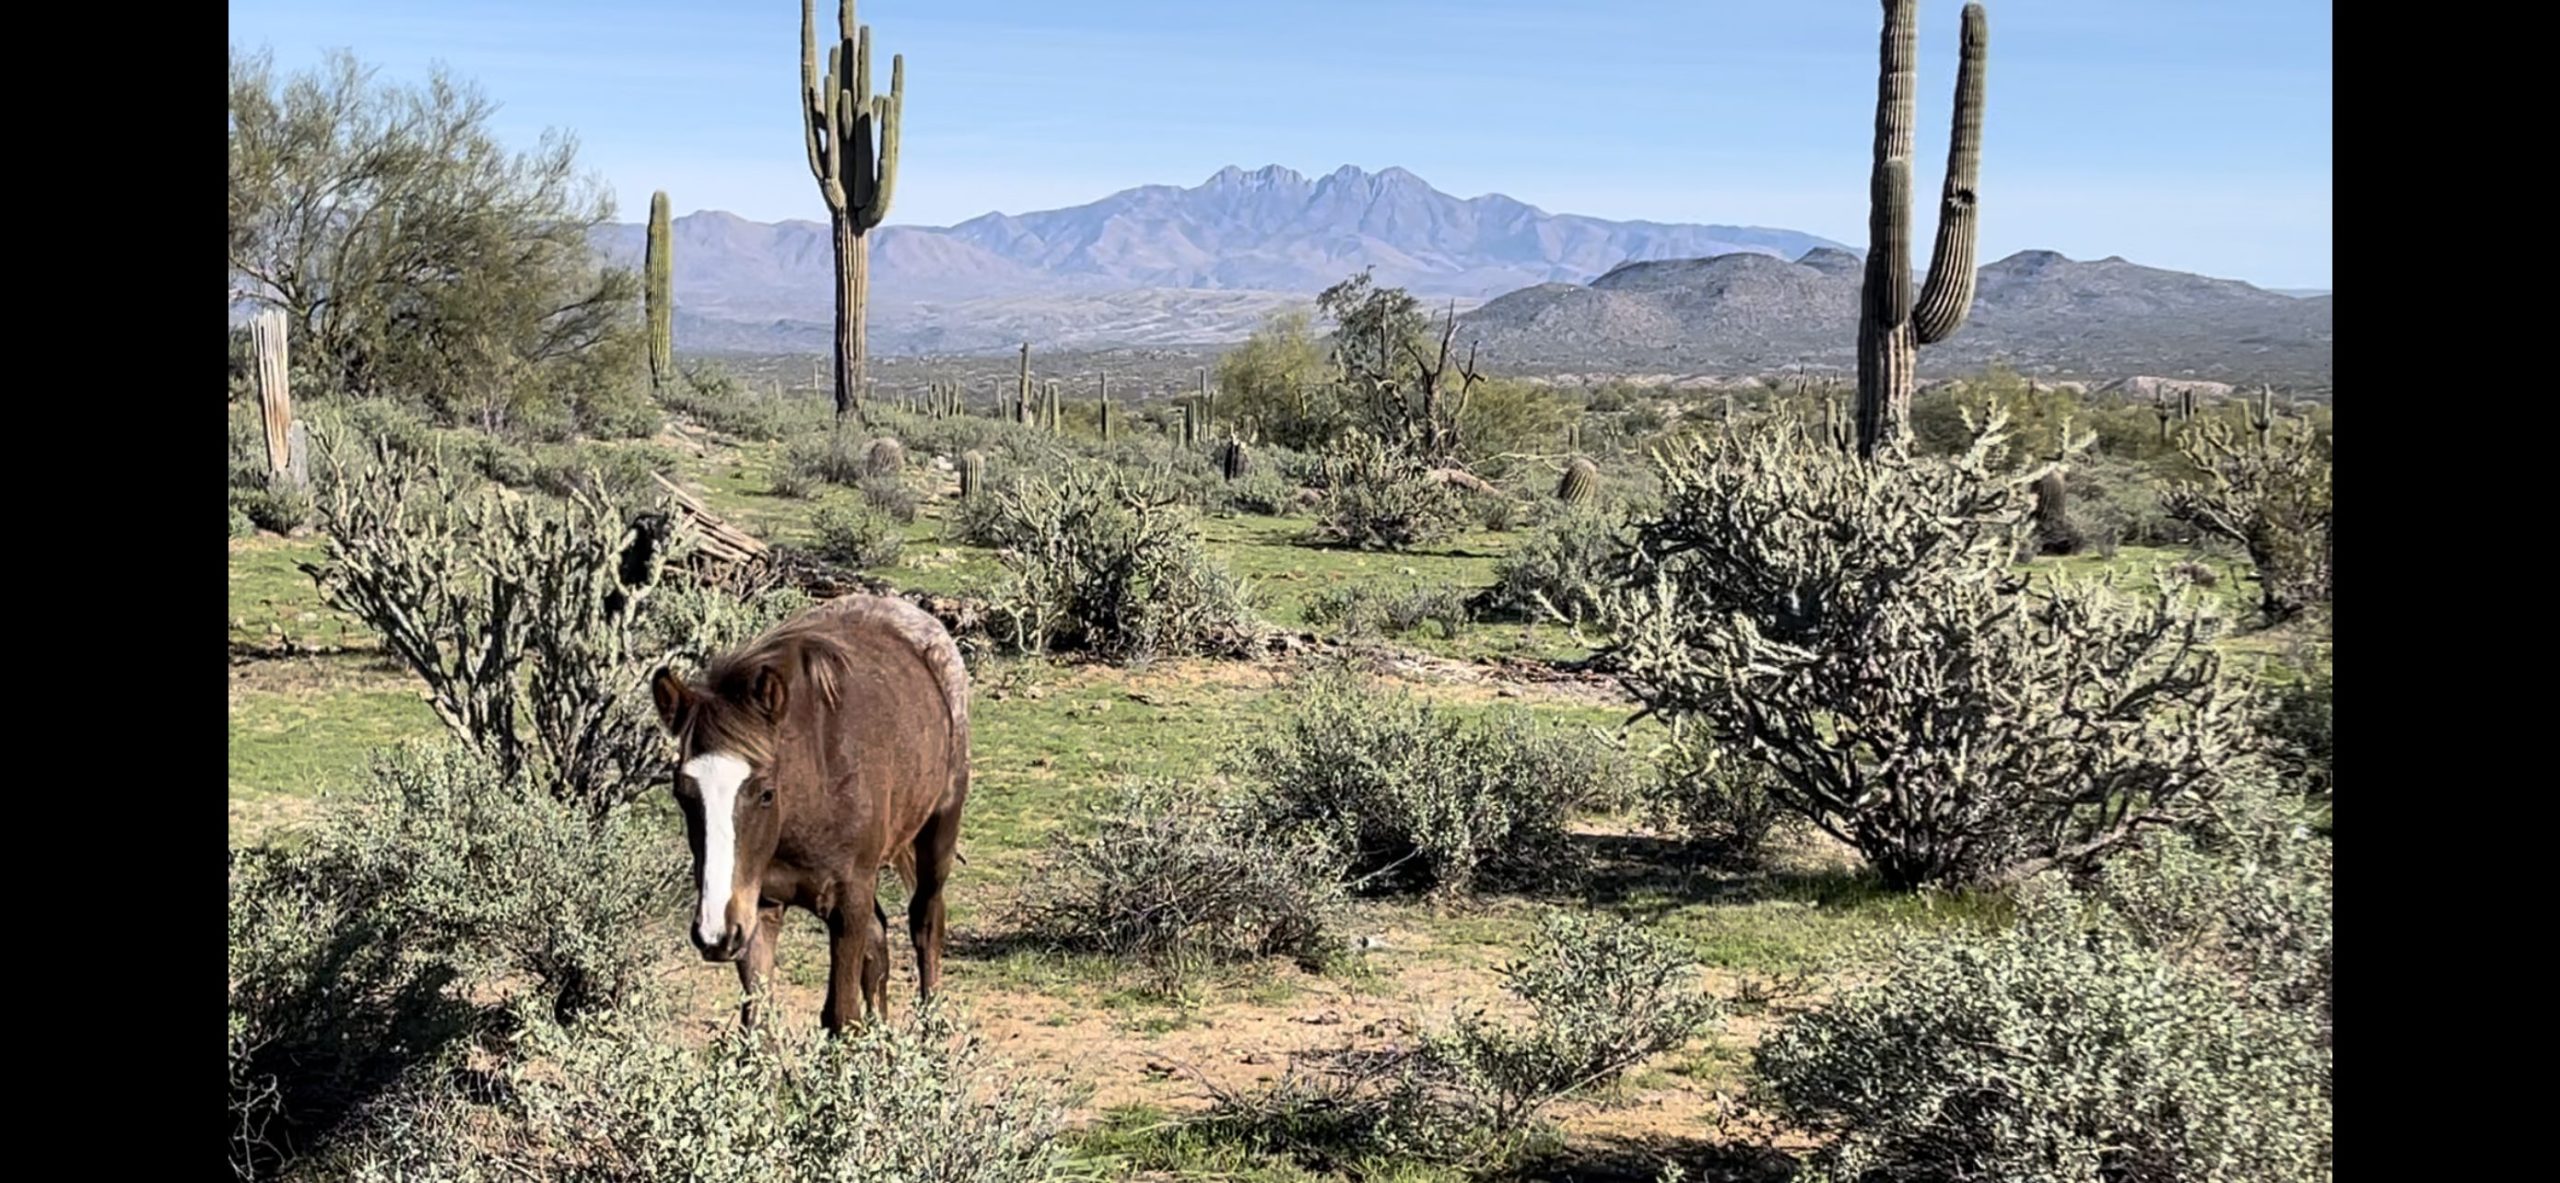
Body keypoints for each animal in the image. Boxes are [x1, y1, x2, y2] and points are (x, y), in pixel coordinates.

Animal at [648, 593, 970, 1032]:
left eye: (766, 793)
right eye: (682, 794)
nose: (714, 934)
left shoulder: (849, 900)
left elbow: (842, 1016)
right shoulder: (758, 907)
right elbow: (758, 1023)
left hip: (938, 832)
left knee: (926, 924)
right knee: (879, 941)